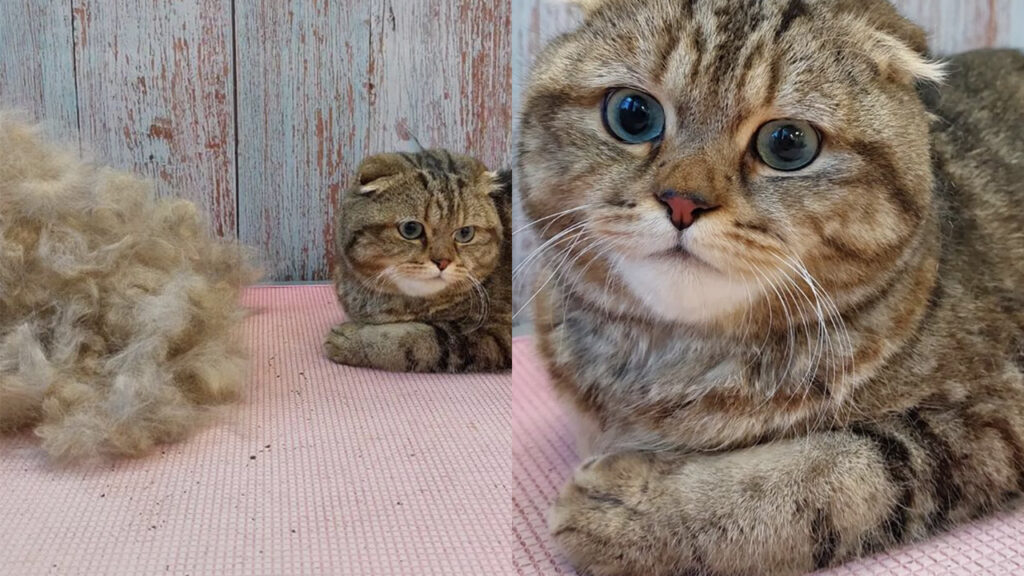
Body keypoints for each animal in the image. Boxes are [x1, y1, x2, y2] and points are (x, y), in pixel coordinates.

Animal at [325, 147, 512, 373]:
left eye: (465, 233)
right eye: (411, 229)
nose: (442, 262)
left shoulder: (494, 334)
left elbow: (420, 342)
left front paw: (355, 341)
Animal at [520, 0, 1024, 569]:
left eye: (788, 144)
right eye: (632, 114)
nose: (682, 201)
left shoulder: (994, 415)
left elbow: (839, 472)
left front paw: (640, 512)